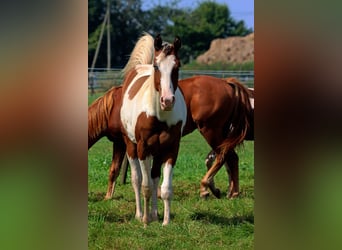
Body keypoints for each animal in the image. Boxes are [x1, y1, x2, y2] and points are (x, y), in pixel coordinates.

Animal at [119, 32, 186, 226]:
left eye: (177, 66)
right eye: (157, 66)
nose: (168, 100)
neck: (159, 116)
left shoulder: (171, 149)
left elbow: (165, 188)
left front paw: (165, 221)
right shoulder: (143, 148)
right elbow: (145, 186)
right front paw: (145, 222)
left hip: (157, 151)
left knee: (155, 177)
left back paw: (155, 214)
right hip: (131, 146)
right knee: (137, 179)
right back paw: (141, 214)